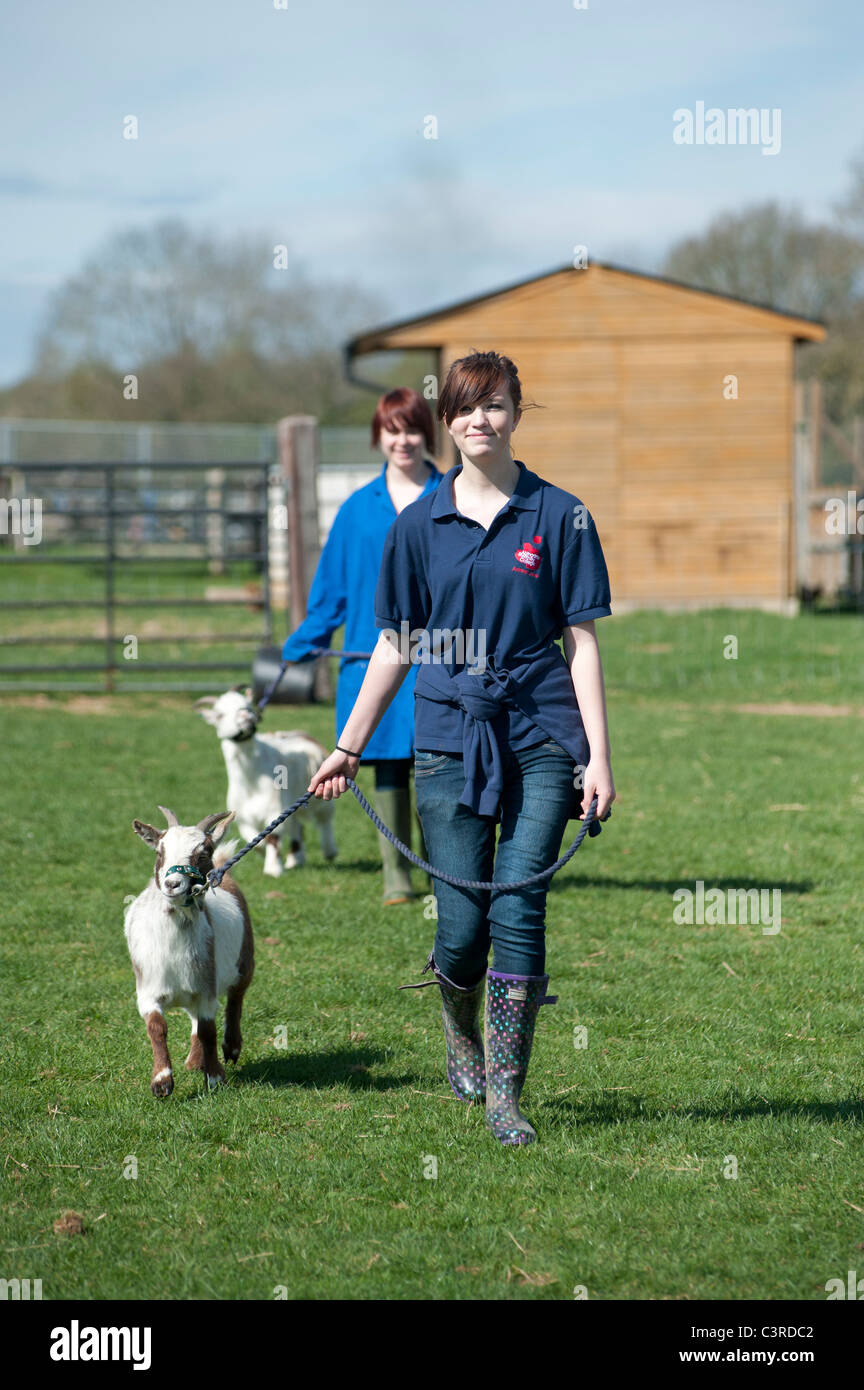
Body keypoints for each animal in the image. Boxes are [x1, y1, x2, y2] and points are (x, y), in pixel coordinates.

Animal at [123, 806, 255, 1095]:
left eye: (203, 853)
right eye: (160, 852)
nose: (173, 884)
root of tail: (224, 873)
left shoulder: (206, 988)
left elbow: (208, 1030)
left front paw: (215, 1077)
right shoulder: (148, 991)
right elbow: (157, 1027)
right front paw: (162, 1081)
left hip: (245, 962)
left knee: (236, 998)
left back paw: (231, 1047)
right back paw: (195, 1060)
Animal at [195, 686, 338, 872]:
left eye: (249, 705)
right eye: (220, 714)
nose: (247, 718)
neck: (251, 781)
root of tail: (302, 734)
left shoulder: (274, 807)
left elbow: (273, 835)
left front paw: (273, 869)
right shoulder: (243, 817)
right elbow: (256, 841)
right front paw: (267, 857)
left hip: (321, 793)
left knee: (325, 819)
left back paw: (329, 851)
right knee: (296, 826)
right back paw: (295, 859)